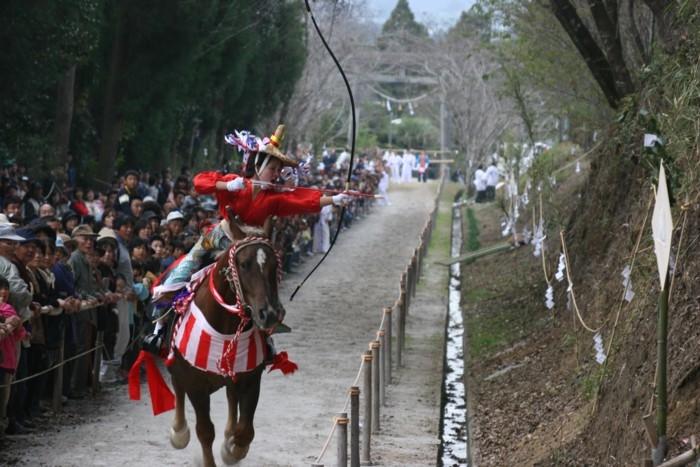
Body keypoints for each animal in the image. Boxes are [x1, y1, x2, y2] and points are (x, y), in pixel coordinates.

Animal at [165, 217, 284, 467]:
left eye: (274, 264)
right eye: (244, 264)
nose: (269, 313)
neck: (225, 326)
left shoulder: (250, 377)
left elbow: (245, 430)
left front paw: (231, 448)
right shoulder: (195, 383)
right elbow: (205, 431)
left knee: (231, 397)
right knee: (177, 385)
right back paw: (179, 432)